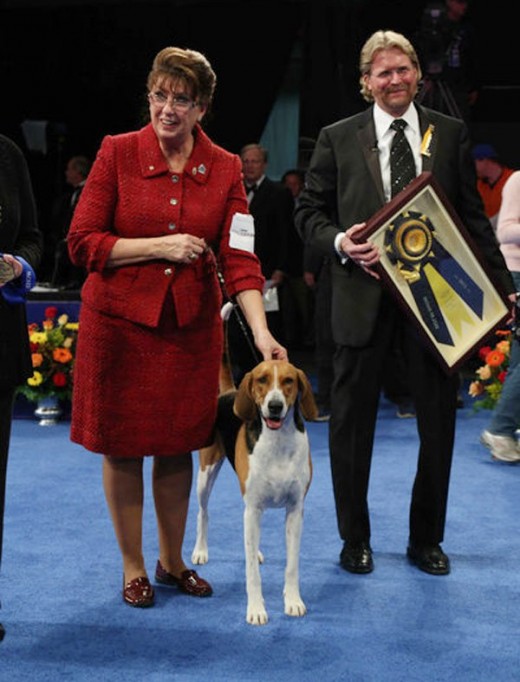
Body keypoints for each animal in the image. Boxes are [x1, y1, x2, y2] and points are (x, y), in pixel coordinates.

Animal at [192, 342, 316, 624]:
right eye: (262, 380)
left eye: (288, 381)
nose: (275, 406)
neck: (278, 441)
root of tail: (229, 391)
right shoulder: (253, 508)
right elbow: (251, 573)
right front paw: (257, 609)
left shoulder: (296, 510)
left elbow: (292, 565)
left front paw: (293, 600)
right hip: (206, 475)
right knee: (203, 513)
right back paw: (200, 550)